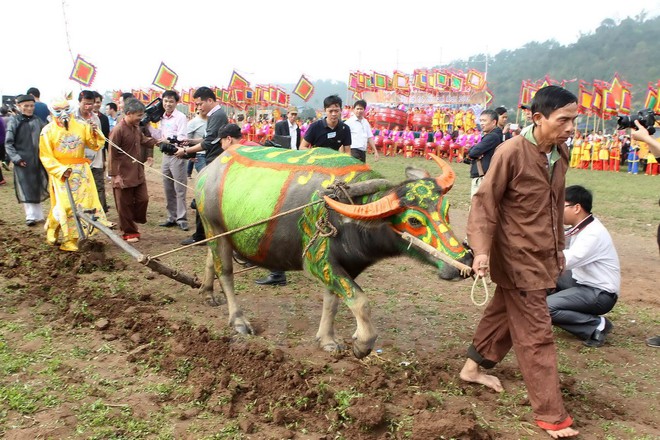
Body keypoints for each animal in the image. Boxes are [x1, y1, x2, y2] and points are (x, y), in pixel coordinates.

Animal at [193, 146, 472, 360]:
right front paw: (361, 345)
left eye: (446, 209)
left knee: (210, 260)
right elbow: (361, 302)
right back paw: (238, 320)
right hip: (213, 226)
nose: (464, 261)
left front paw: (327, 339)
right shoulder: (317, 262)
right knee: (225, 272)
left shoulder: (342, 265)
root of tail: (208, 170)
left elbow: (334, 301)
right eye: (414, 221)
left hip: (220, 233)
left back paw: (207, 293)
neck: (349, 215)